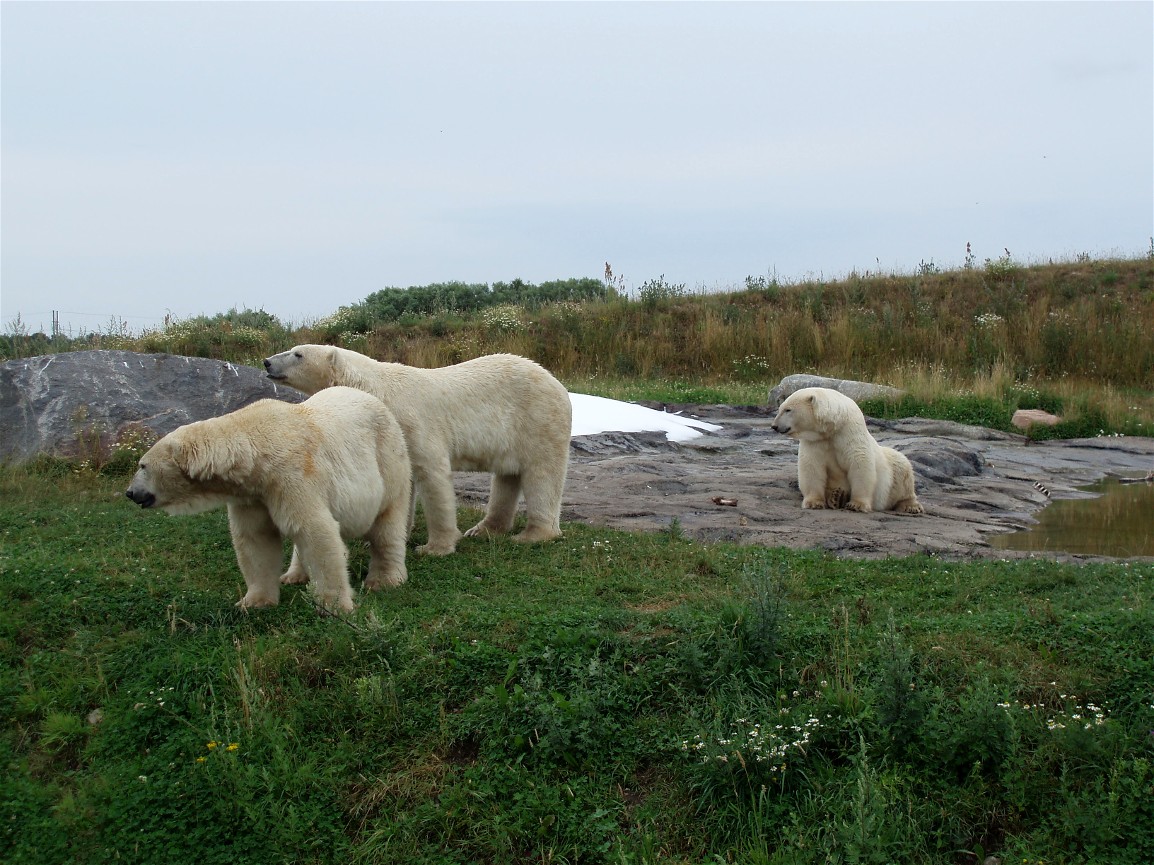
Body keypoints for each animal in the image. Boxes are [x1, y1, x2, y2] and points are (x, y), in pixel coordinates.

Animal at [125, 386, 411, 613]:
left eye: (142, 466)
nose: (130, 492)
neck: (256, 447)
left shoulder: (291, 476)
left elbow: (316, 531)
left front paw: (334, 605)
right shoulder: (251, 494)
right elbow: (256, 539)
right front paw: (254, 601)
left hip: (388, 458)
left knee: (387, 521)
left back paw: (385, 579)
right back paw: (294, 575)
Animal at [263, 345, 572, 555]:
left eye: (298, 354)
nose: (266, 362)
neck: (380, 390)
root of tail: (558, 383)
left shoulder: (414, 421)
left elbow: (432, 475)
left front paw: (435, 547)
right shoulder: (395, 433)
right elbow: (403, 479)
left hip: (538, 419)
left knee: (542, 474)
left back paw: (533, 534)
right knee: (508, 475)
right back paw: (483, 529)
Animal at [770, 386, 923, 514]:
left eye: (788, 410)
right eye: (780, 408)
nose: (774, 426)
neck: (832, 428)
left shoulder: (850, 434)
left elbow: (860, 466)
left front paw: (857, 505)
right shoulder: (815, 442)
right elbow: (812, 467)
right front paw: (814, 503)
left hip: (894, 467)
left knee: (903, 472)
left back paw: (911, 506)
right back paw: (836, 497)